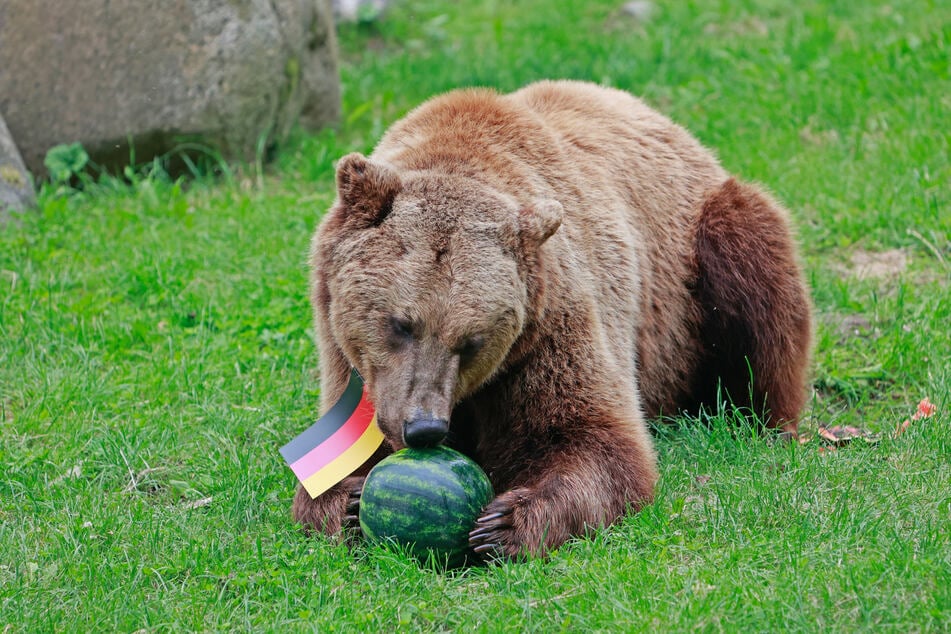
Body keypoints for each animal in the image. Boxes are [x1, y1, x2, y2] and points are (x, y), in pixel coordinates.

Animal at [294, 80, 816, 556]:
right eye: (401, 324)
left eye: (471, 341)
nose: (425, 428)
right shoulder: (350, 360)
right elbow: (342, 445)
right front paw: (345, 502)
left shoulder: (552, 322)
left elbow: (598, 439)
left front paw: (505, 522)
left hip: (694, 262)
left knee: (754, 278)